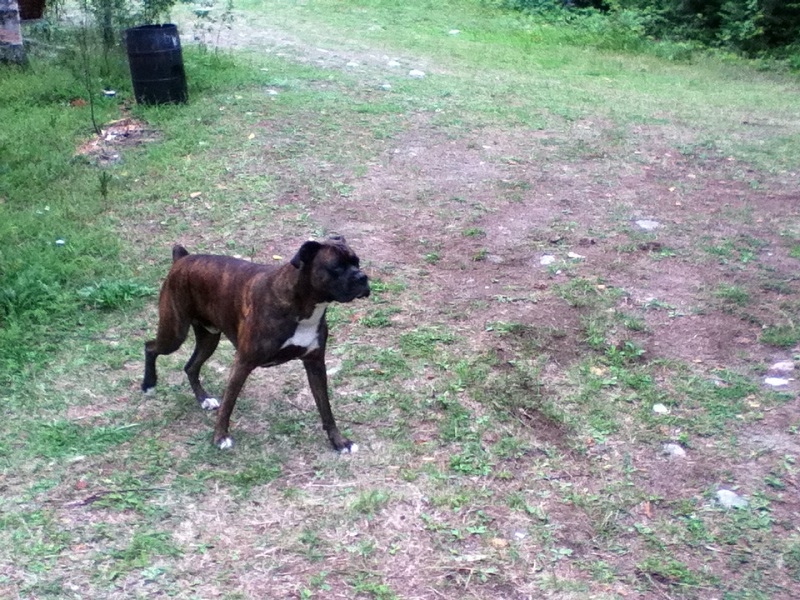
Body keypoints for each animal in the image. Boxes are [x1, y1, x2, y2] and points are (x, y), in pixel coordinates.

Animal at [142, 237, 370, 452]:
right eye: (336, 267)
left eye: (357, 262)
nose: (362, 277)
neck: (302, 306)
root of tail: (182, 258)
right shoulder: (242, 363)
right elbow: (228, 404)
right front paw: (220, 438)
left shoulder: (315, 364)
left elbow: (326, 409)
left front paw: (339, 442)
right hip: (174, 334)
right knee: (150, 347)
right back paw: (148, 384)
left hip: (209, 338)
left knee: (190, 366)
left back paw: (204, 399)